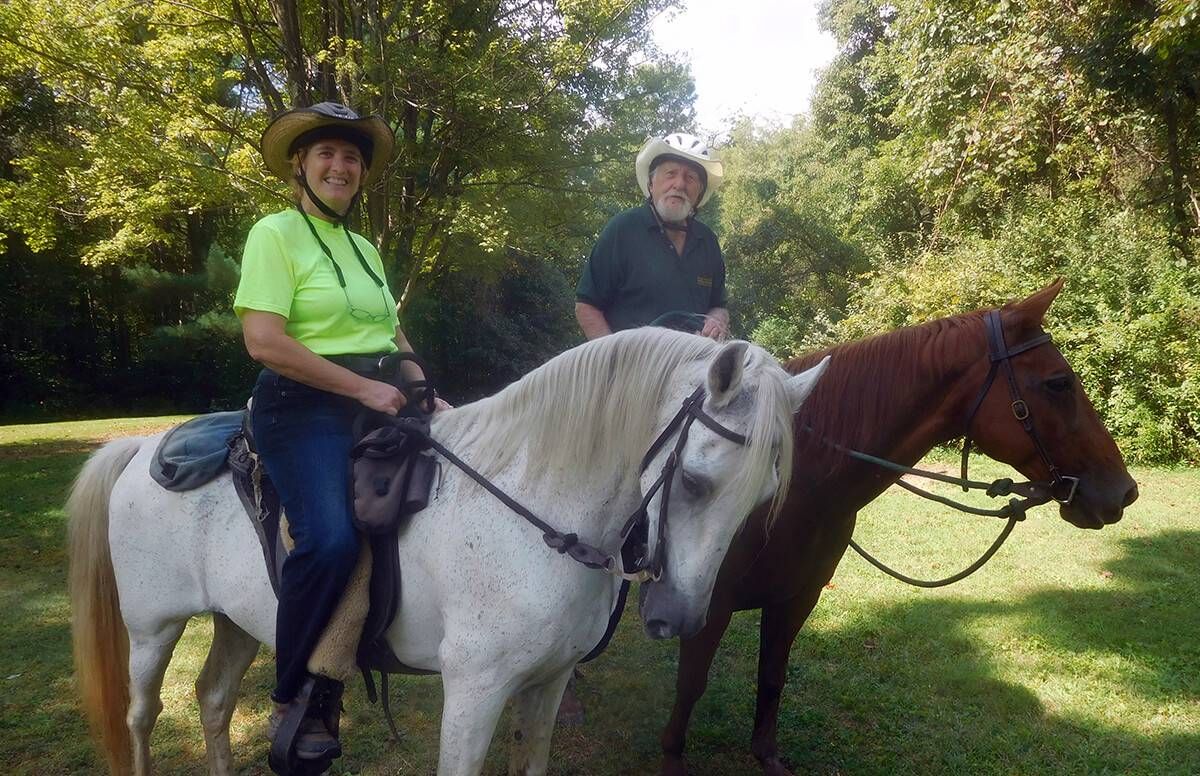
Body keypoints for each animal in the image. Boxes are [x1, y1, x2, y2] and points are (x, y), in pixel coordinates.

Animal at [68, 328, 825, 776]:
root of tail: (142, 448)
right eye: (694, 481)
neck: (532, 510)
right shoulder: (473, 691)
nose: (678, 619)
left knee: (214, 701)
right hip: (153, 629)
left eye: (762, 498)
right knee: (142, 716)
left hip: (237, 623)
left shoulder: (547, 684)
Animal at [662, 280, 1137, 776]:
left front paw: (766, 755)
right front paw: (672, 757)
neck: (792, 488)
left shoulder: (796, 599)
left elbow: (772, 675)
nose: (1123, 491)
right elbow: (691, 684)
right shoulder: (708, 604)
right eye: (1059, 382)